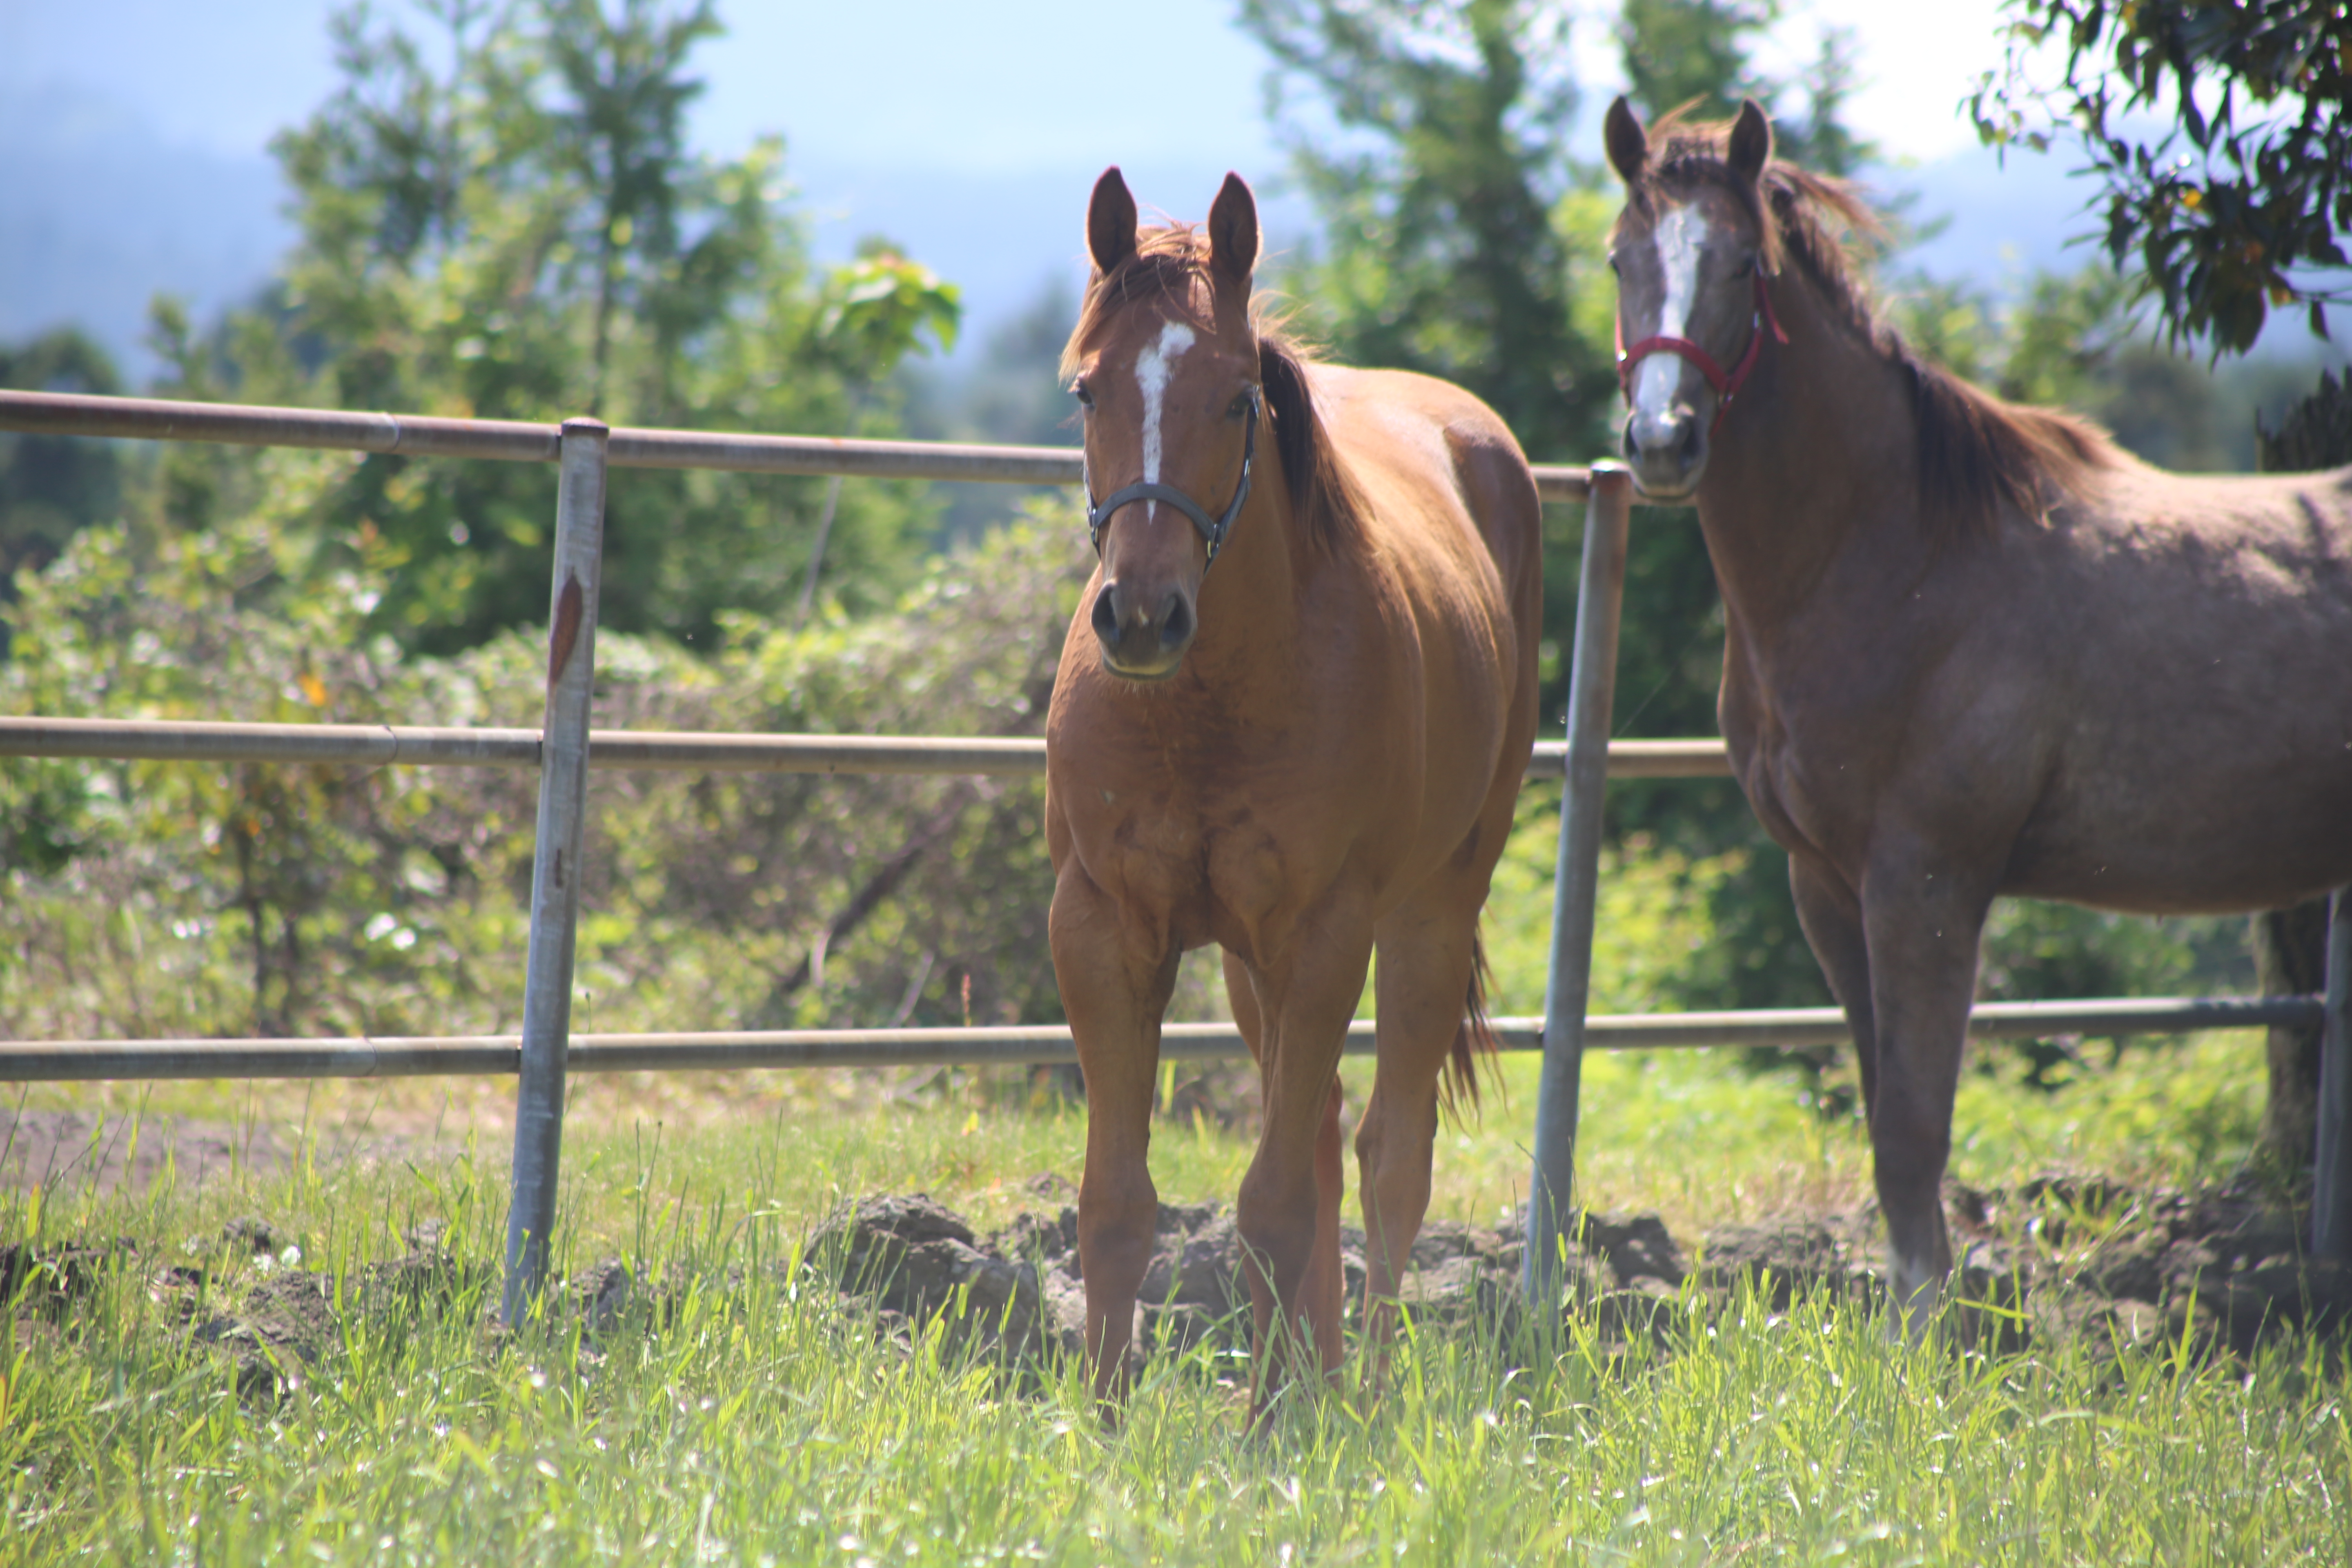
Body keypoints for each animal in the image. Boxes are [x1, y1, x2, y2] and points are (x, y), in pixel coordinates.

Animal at [1049, 172, 1543, 1410]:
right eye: (1087, 388)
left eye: (1236, 401)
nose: (1140, 615)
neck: (1202, 710)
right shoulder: (1102, 928)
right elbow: (1116, 1204)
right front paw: (1103, 1420)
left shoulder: (1326, 932)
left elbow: (1273, 1203)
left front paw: (1270, 1429)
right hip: (1246, 964)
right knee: (1317, 1137)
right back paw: (1306, 1376)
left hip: (1424, 919)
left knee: (1386, 1158)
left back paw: (1352, 1391)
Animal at [1599, 98, 2352, 1335]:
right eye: (1622, 259)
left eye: (1744, 264)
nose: (1662, 444)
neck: (1893, 555)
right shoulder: (1827, 885)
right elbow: (1882, 1118)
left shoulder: (1929, 881)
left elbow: (1913, 1131)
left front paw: (1925, 1342)